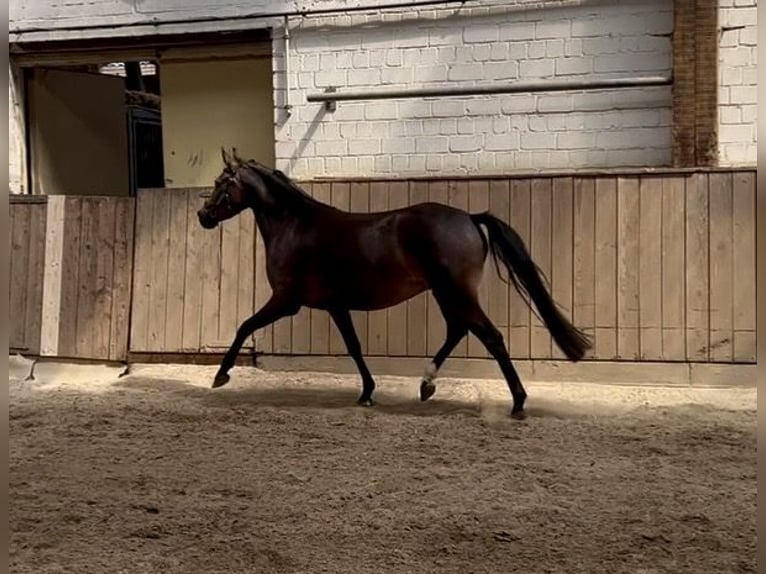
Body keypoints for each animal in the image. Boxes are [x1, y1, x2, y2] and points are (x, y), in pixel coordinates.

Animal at [197, 148, 592, 419]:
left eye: (220, 183)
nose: (203, 216)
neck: (294, 225)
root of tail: (468, 217)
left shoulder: (285, 300)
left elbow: (244, 326)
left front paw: (221, 375)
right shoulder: (337, 306)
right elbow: (354, 347)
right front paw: (367, 392)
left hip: (456, 292)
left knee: (490, 337)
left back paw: (518, 402)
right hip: (446, 293)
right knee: (458, 330)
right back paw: (427, 384)